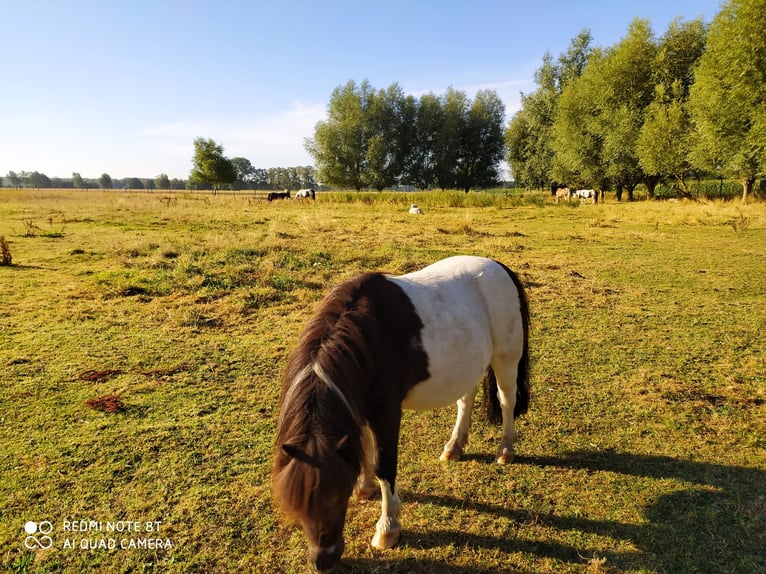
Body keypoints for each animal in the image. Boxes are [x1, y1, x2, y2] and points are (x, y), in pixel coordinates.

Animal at [272, 258, 532, 572]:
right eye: (296, 504)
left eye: (337, 498)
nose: (324, 560)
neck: (367, 337)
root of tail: (499, 267)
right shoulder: (360, 407)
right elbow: (363, 448)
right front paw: (365, 487)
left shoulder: (387, 412)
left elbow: (385, 465)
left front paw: (387, 528)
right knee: (465, 399)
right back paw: (454, 446)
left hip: (506, 358)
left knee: (507, 400)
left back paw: (505, 449)